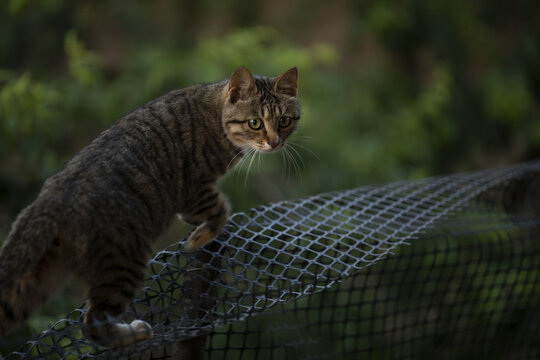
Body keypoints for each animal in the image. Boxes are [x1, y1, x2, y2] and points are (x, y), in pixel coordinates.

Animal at [0, 66, 300, 348]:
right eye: (255, 123)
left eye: (284, 121)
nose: (275, 142)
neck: (216, 116)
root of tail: (51, 202)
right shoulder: (193, 190)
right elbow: (220, 211)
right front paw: (197, 239)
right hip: (123, 263)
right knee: (93, 325)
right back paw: (133, 333)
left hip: (35, 281)